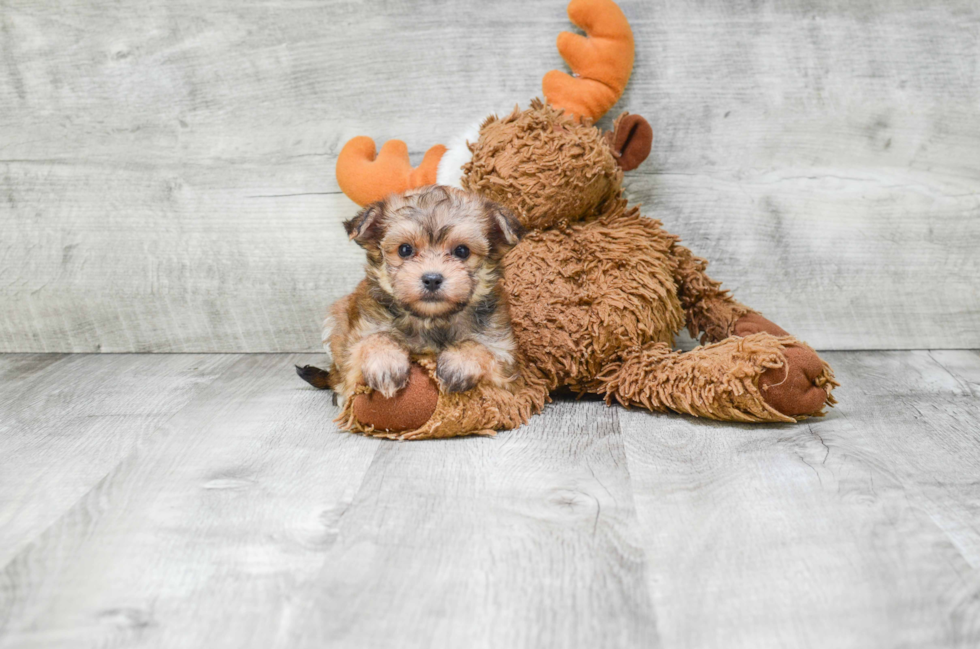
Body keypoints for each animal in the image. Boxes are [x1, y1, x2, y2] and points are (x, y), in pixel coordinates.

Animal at [298, 185, 528, 400]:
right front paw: (385, 362)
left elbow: (482, 348)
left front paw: (461, 363)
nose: (432, 279)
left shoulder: (503, 355)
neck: (432, 320)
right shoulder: (360, 338)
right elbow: (373, 340)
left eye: (462, 251)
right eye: (405, 250)